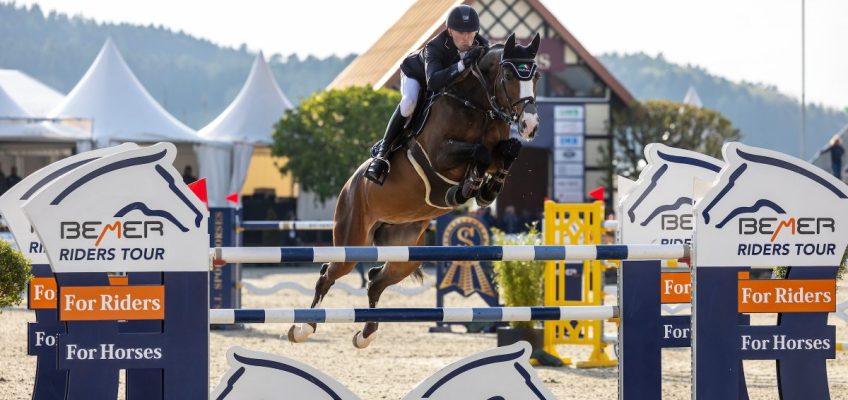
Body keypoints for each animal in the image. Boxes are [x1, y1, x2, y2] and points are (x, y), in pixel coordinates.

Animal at [290, 33, 544, 346]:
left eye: (536, 76)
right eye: (508, 75)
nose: (530, 125)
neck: (477, 106)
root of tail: (349, 185)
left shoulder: (500, 148)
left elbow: (509, 151)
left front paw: (486, 190)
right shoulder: (439, 154)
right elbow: (480, 153)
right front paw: (465, 189)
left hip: (406, 252)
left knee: (375, 280)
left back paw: (366, 334)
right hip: (352, 240)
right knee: (329, 273)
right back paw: (303, 329)